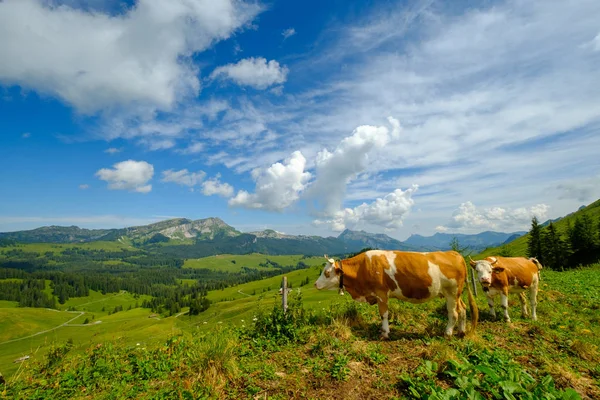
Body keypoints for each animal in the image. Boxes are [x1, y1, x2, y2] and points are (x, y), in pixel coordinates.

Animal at [314, 250, 478, 338]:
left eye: (327, 273)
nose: (315, 284)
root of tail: (454, 253)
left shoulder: (381, 293)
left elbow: (384, 314)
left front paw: (385, 333)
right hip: (456, 294)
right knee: (463, 309)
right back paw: (461, 332)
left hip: (451, 293)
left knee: (454, 313)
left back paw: (448, 333)